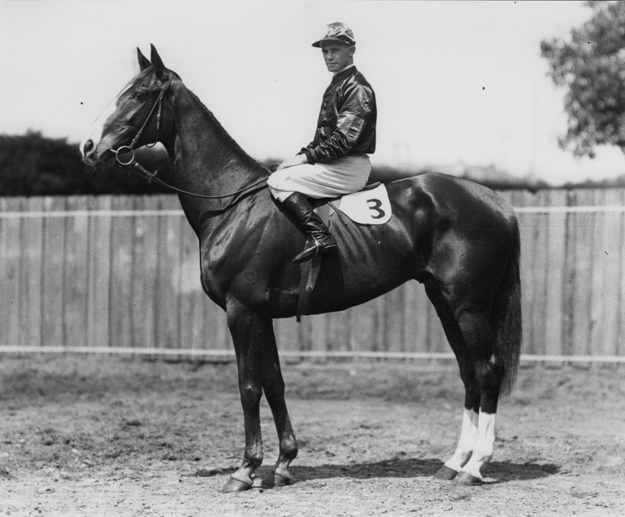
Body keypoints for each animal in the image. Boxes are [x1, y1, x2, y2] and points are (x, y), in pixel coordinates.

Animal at [81, 45, 520, 492]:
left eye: (139, 94)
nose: (88, 147)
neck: (232, 203)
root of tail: (495, 202)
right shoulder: (261, 315)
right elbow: (274, 383)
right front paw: (282, 463)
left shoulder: (241, 311)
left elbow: (248, 386)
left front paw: (245, 470)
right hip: (445, 303)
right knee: (468, 373)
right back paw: (453, 463)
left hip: (469, 306)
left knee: (487, 371)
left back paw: (474, 467)